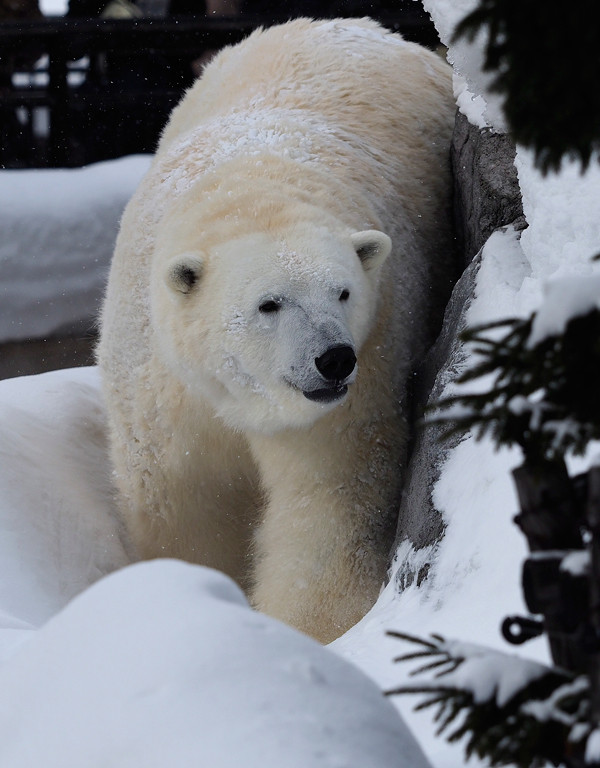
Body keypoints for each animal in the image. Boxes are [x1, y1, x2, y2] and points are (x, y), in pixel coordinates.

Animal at [97, 16, 454, 640]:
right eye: (270, 304)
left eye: (342, 292)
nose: (333, 359)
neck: (251, 182)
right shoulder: (158, 386)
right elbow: (182, 503)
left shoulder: (361, 377)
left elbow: (328, 501)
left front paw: (312, 630)